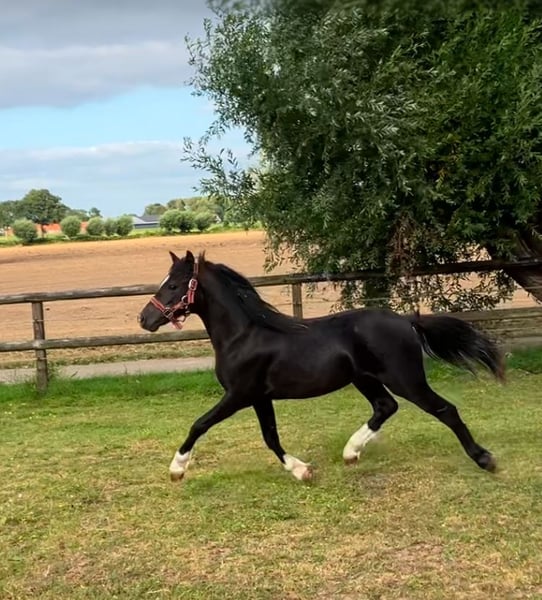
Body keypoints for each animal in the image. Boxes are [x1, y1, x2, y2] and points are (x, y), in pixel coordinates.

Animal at [138, 250, 504, 482]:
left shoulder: (239, 394)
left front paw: (177, 469)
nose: (145, 319)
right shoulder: (259, 397)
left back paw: (485, 459)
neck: (243, 336)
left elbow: (199, 424)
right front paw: (302, 471)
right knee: (385, 407)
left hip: (406, 379)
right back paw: (350, 452)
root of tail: (406, 321)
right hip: (366, 379)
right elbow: (270, 437)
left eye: (173, 285)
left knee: (445, 410)